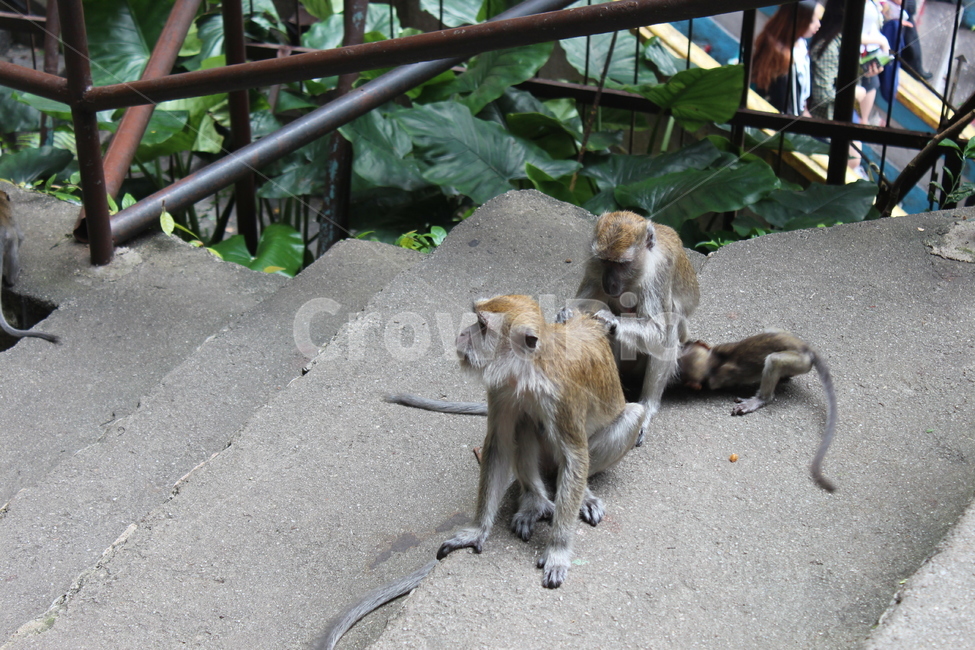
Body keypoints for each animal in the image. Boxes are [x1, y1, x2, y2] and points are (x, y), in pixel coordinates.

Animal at [435, 295, 644, 589]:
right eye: (476, 320)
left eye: (482, 326)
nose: (463, 334)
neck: (529, 372)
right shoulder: (501, 388)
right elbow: (498, 447)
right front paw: (477, 530)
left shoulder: (562, 394)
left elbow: (575, 457)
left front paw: (558, 550)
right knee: (524, 422)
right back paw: (534, 501)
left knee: (632, 416)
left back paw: (583, 495)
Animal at [677, 329, 837, 492]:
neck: (714, 361)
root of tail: (807, 349)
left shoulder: (717, 379)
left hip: (798, 362)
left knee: (774, 361)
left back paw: (761, 399)